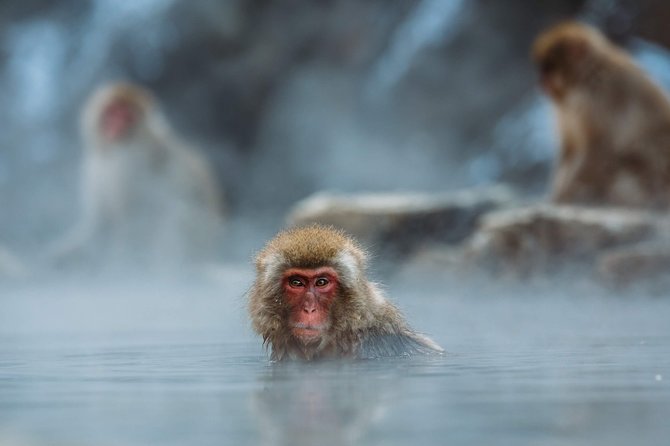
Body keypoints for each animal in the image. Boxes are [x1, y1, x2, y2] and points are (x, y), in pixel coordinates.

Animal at [47, 82, 224, 271]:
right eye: (112, 111)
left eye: (127, 116)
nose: (116, 127)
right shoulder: (94, 168)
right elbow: (99, 225)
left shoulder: (129, 167)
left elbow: (133, 221)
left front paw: (119, 263)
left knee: (174, 215)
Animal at [532, 21, 670, 209]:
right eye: (543, 67)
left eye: (550, 67)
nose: (541, 80)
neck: (586, 76)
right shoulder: (566, 109)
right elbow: (570, 148)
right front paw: (556, 194)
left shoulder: (599, 98)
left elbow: (599, 149)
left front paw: (563, 197)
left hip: (654, 172)